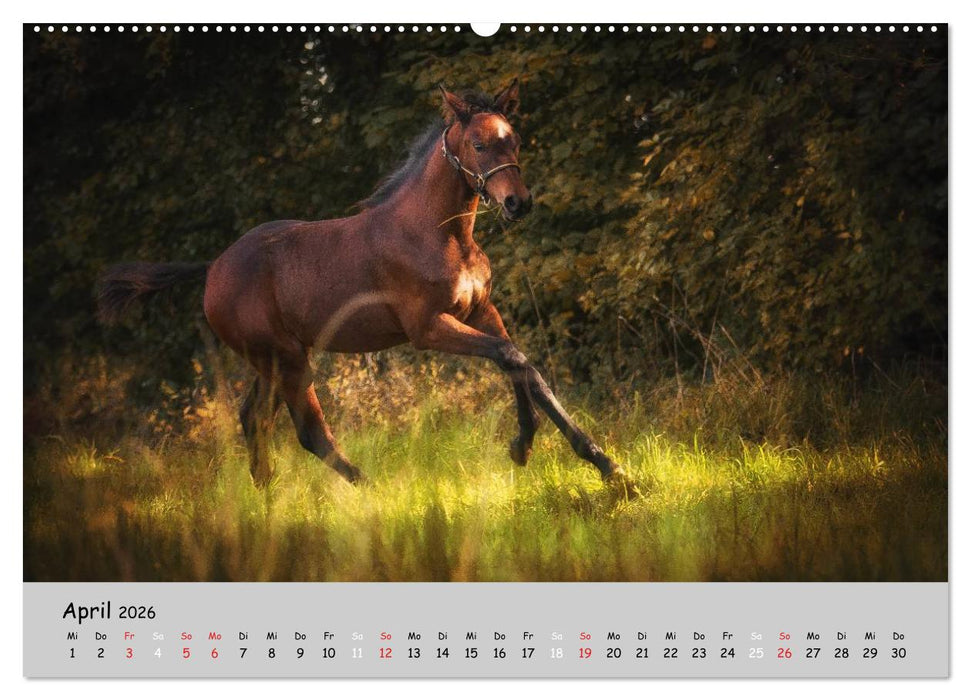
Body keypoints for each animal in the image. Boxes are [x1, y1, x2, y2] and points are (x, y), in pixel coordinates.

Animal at [99, 81, 631, 491]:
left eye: (514, 139)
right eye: (479, 146)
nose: (518, 203)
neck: (437, 232)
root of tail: (213, 268)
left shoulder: (482, 311)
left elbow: (521, 364)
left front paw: (577, 458)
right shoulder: (428, 328)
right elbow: (512, 358)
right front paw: (560, 454)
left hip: (271, 359)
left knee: (254, 418)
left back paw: (266, 496)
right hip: (288, 360)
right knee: (308, 431)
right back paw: (371, 492)